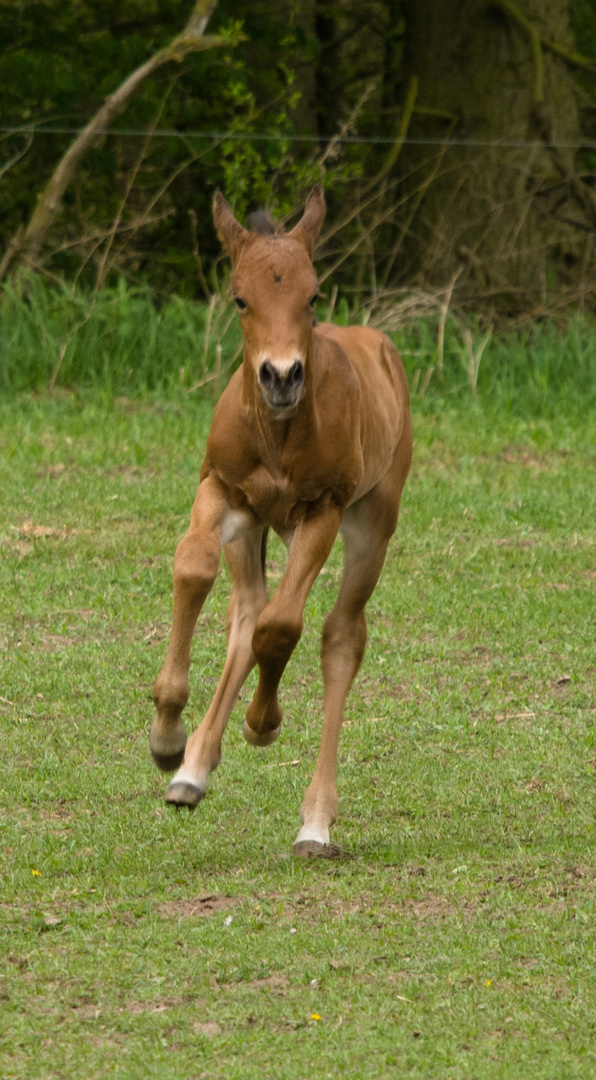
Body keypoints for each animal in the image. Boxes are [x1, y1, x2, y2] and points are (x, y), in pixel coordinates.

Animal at [150, 185, 410, 855]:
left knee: (338, 635)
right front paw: (166, 736)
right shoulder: (221, 489)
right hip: (253, 527)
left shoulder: (322, 511)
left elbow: (283, 628)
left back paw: (315, 821)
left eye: (312, 296)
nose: (282, 376)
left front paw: (262, 722)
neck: (277, 435)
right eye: (240, 297)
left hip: (371, 521)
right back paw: (191, 769)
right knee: (246, 610)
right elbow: (193, 569)